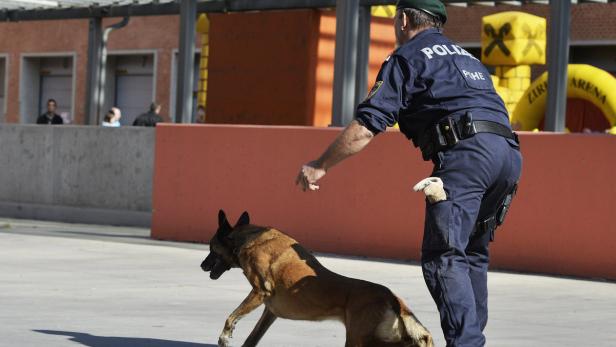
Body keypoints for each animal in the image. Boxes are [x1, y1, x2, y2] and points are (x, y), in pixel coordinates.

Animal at [202, 209, 434, 347]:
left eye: (211, 248)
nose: (202, 265)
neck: (245, 239)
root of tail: (393, 298)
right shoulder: (269, 312)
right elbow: (252, 338)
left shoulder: (260, 291)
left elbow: (231, 317)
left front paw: (225, 335)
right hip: (378, 338)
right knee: (417, 339)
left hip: (358, 339)